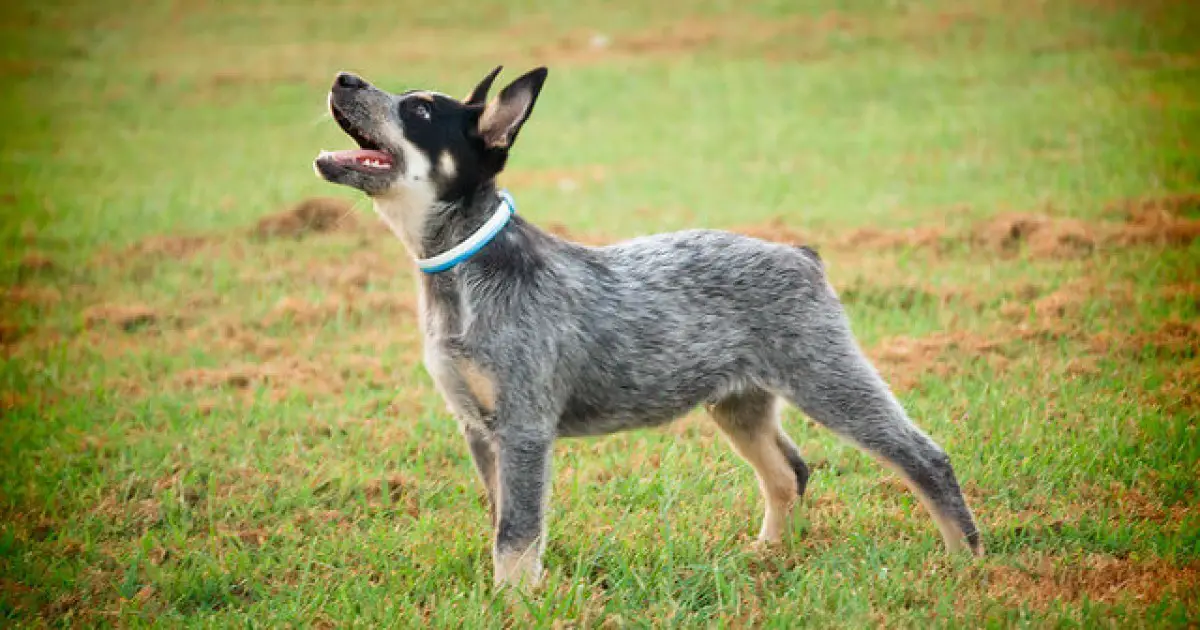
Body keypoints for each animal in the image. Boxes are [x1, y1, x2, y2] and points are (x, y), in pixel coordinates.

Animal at [316, 66, 984, 588]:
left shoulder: (524, 428)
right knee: (788, 472)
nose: (344, 78)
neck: (465, 270)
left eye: (420, 109)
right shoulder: (480, 431)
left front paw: (515, 602)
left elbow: (518, 532)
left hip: (828, 380)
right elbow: (501, 520)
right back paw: (766, 557)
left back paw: (969, 562)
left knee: (925, 458)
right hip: (738, 403)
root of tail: (801, 255)